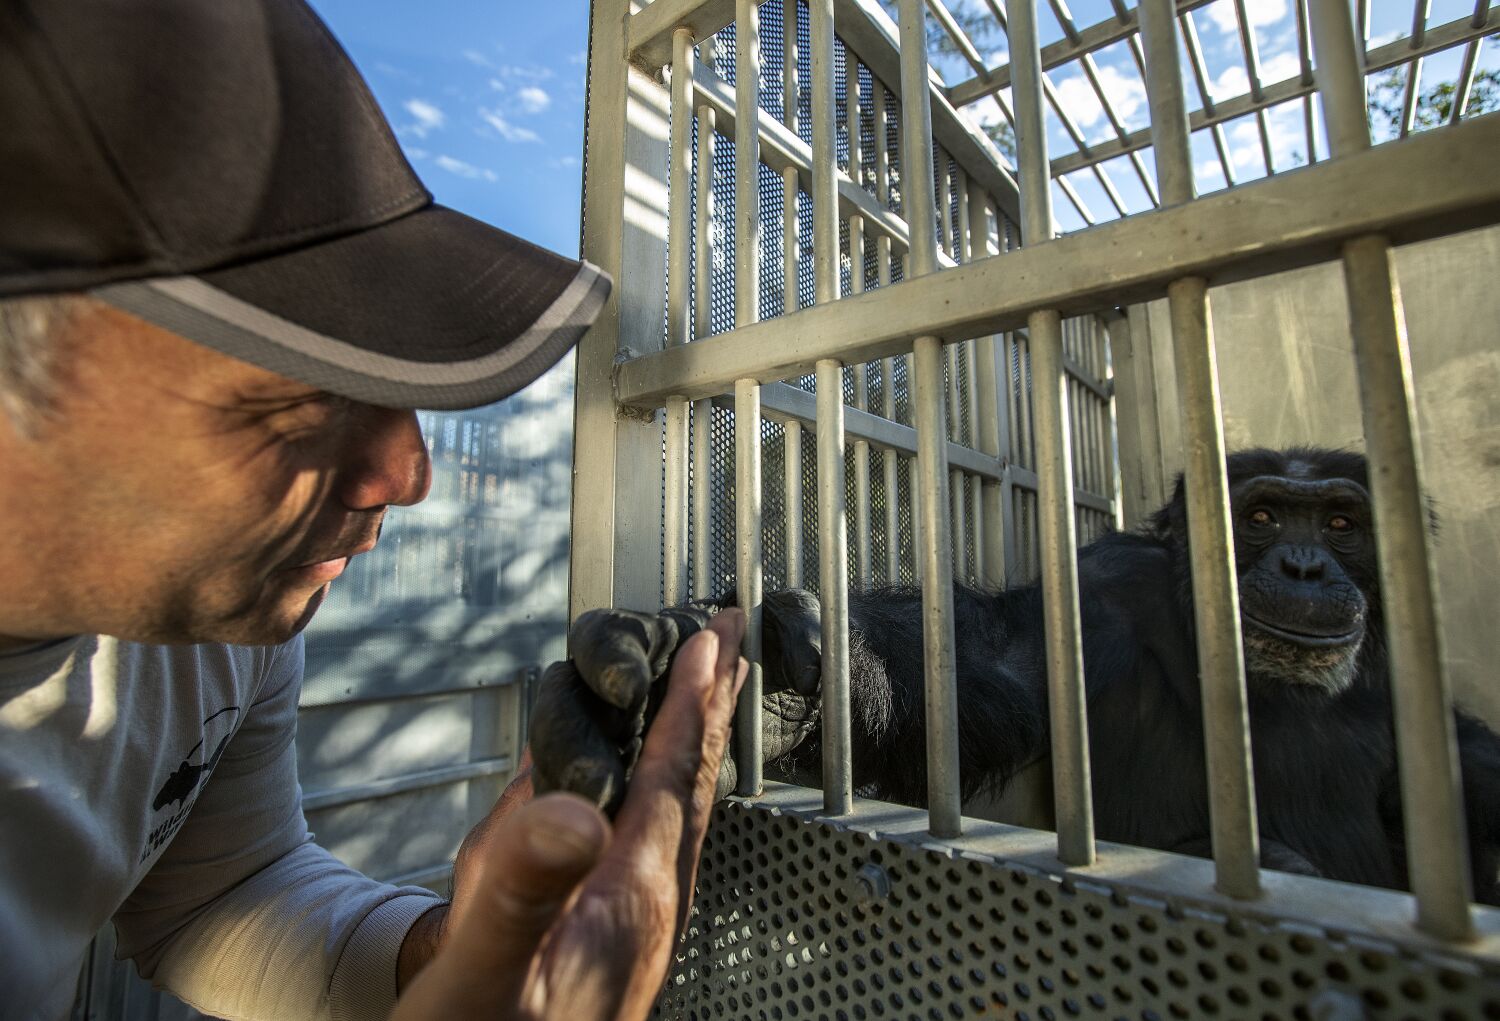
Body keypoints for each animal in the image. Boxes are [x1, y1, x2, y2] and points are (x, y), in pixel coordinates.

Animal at [531, 446, 1500, 899]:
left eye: (1340, 523)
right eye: (1259, 515)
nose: (1303, 564)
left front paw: (760, 694)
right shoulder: (1101, 595)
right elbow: (987, 664)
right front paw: (764, 694)